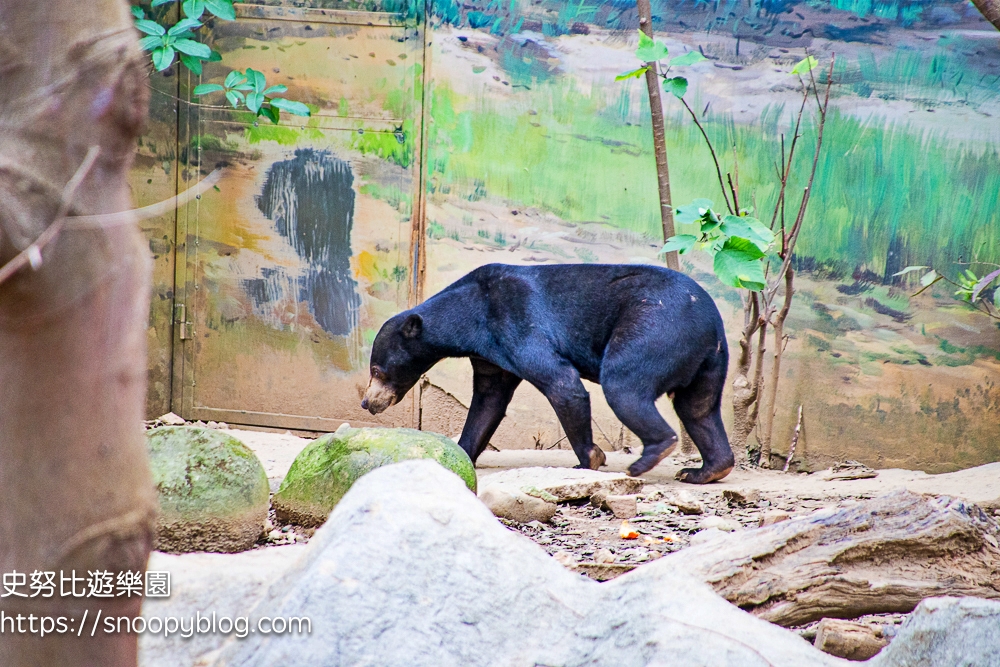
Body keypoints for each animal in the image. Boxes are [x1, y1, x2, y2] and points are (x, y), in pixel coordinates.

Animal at [362, 262, 736, 486]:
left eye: (377, 369)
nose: (367, 403)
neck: (470, 316)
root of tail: (710, 320)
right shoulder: (491, 357)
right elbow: (488, 402)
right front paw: (462, 453)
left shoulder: (515, 322)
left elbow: (561, 382)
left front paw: (589, 458)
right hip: (707, 360)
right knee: (698, 408)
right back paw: (705, 470)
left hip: (655, 328)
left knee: (623, 385)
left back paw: (648, 457)